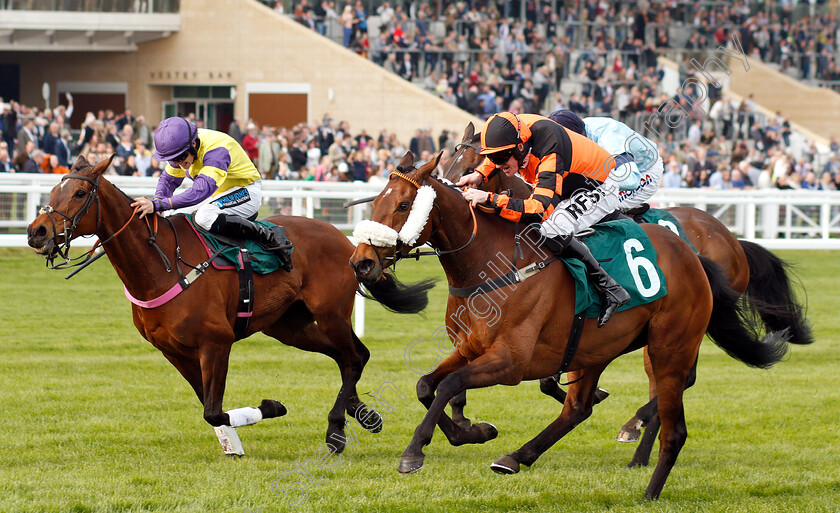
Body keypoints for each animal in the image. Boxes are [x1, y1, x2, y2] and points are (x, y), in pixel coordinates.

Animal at [26, 155, 434, 456]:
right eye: (54, 188)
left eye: (80, 192)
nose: (37, 232)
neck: (161, 265)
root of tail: (349, 243)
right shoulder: (172, 350)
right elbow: (206, 404)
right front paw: (232, 443)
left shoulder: (216, 342)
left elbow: (212, 409)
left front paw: (270, 408)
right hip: (288, 326)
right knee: (345, 356)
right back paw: (363, 415)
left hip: (330, 313)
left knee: (355, 356)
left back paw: (336, 431)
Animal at [346, 151, 788, 496]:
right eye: (377, 203)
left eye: (404, 205)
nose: (361, 262)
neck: (493, 263)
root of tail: (698, 254)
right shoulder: (471, 347)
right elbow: (427, 385)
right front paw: (472, 432)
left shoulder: (511, 362)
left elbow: (450, 385)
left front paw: (415, 452)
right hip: (599, 348)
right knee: (578, 408)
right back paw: (518, 456)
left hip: (668, 345)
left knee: (669, 405)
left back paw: (640, 466)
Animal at [440, 123, 812, 464]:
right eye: (449, 161)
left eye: (471, 164)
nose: (452, 188)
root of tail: (731, 240)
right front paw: (463, 416)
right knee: (668, 382)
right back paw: (640, 453)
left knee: (679, 379)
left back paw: (636, 427)